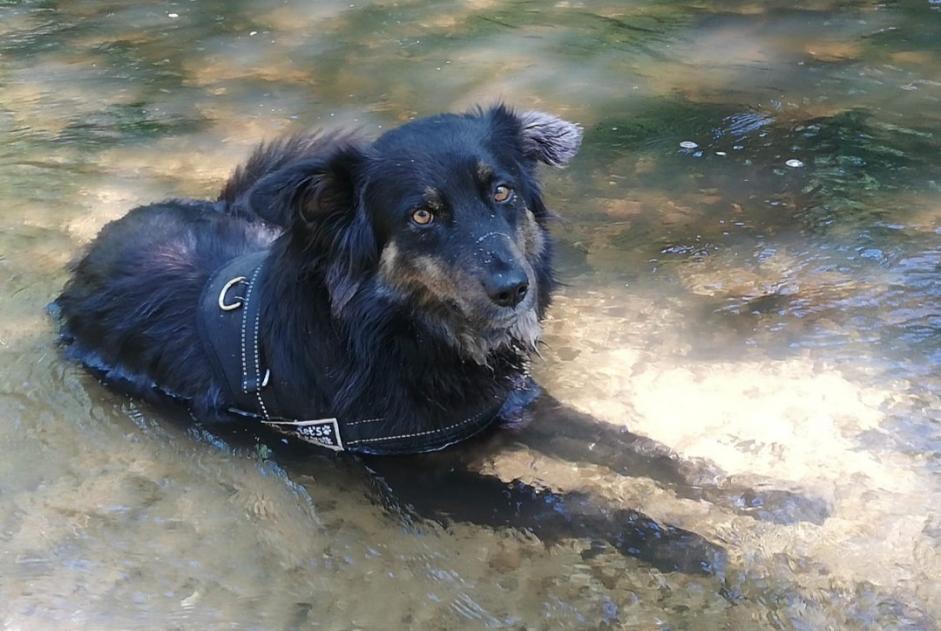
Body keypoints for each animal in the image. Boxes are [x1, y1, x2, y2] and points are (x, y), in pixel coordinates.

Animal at [53, 105, 824, 576]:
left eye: (502, 192)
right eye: (423, 214)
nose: (515, 289)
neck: (407, 338)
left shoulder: (515, 406)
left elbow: (643, 451)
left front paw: (767, 499)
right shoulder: (421, 480)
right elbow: (577, 503)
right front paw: (689, 546)